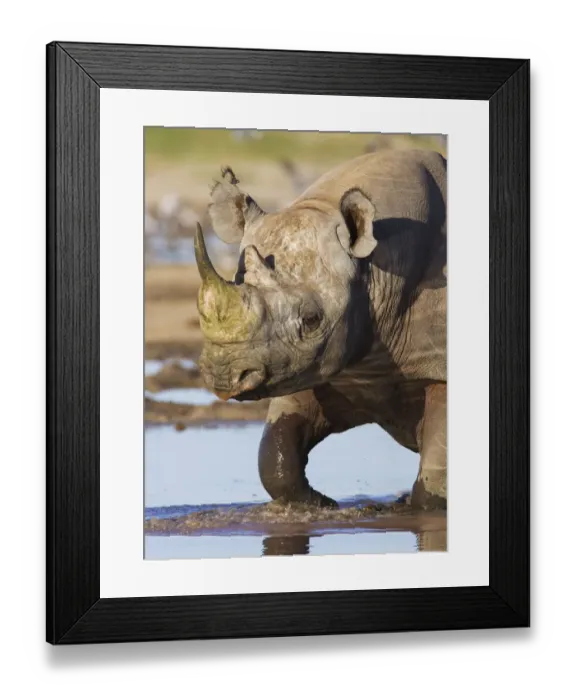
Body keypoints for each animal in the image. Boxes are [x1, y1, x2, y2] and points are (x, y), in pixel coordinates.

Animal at [194, 148, 447, 510]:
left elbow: (435, 478)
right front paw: (320, 504)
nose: (223, 375)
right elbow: (275, 451)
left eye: (312, 319)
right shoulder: (307, 364)